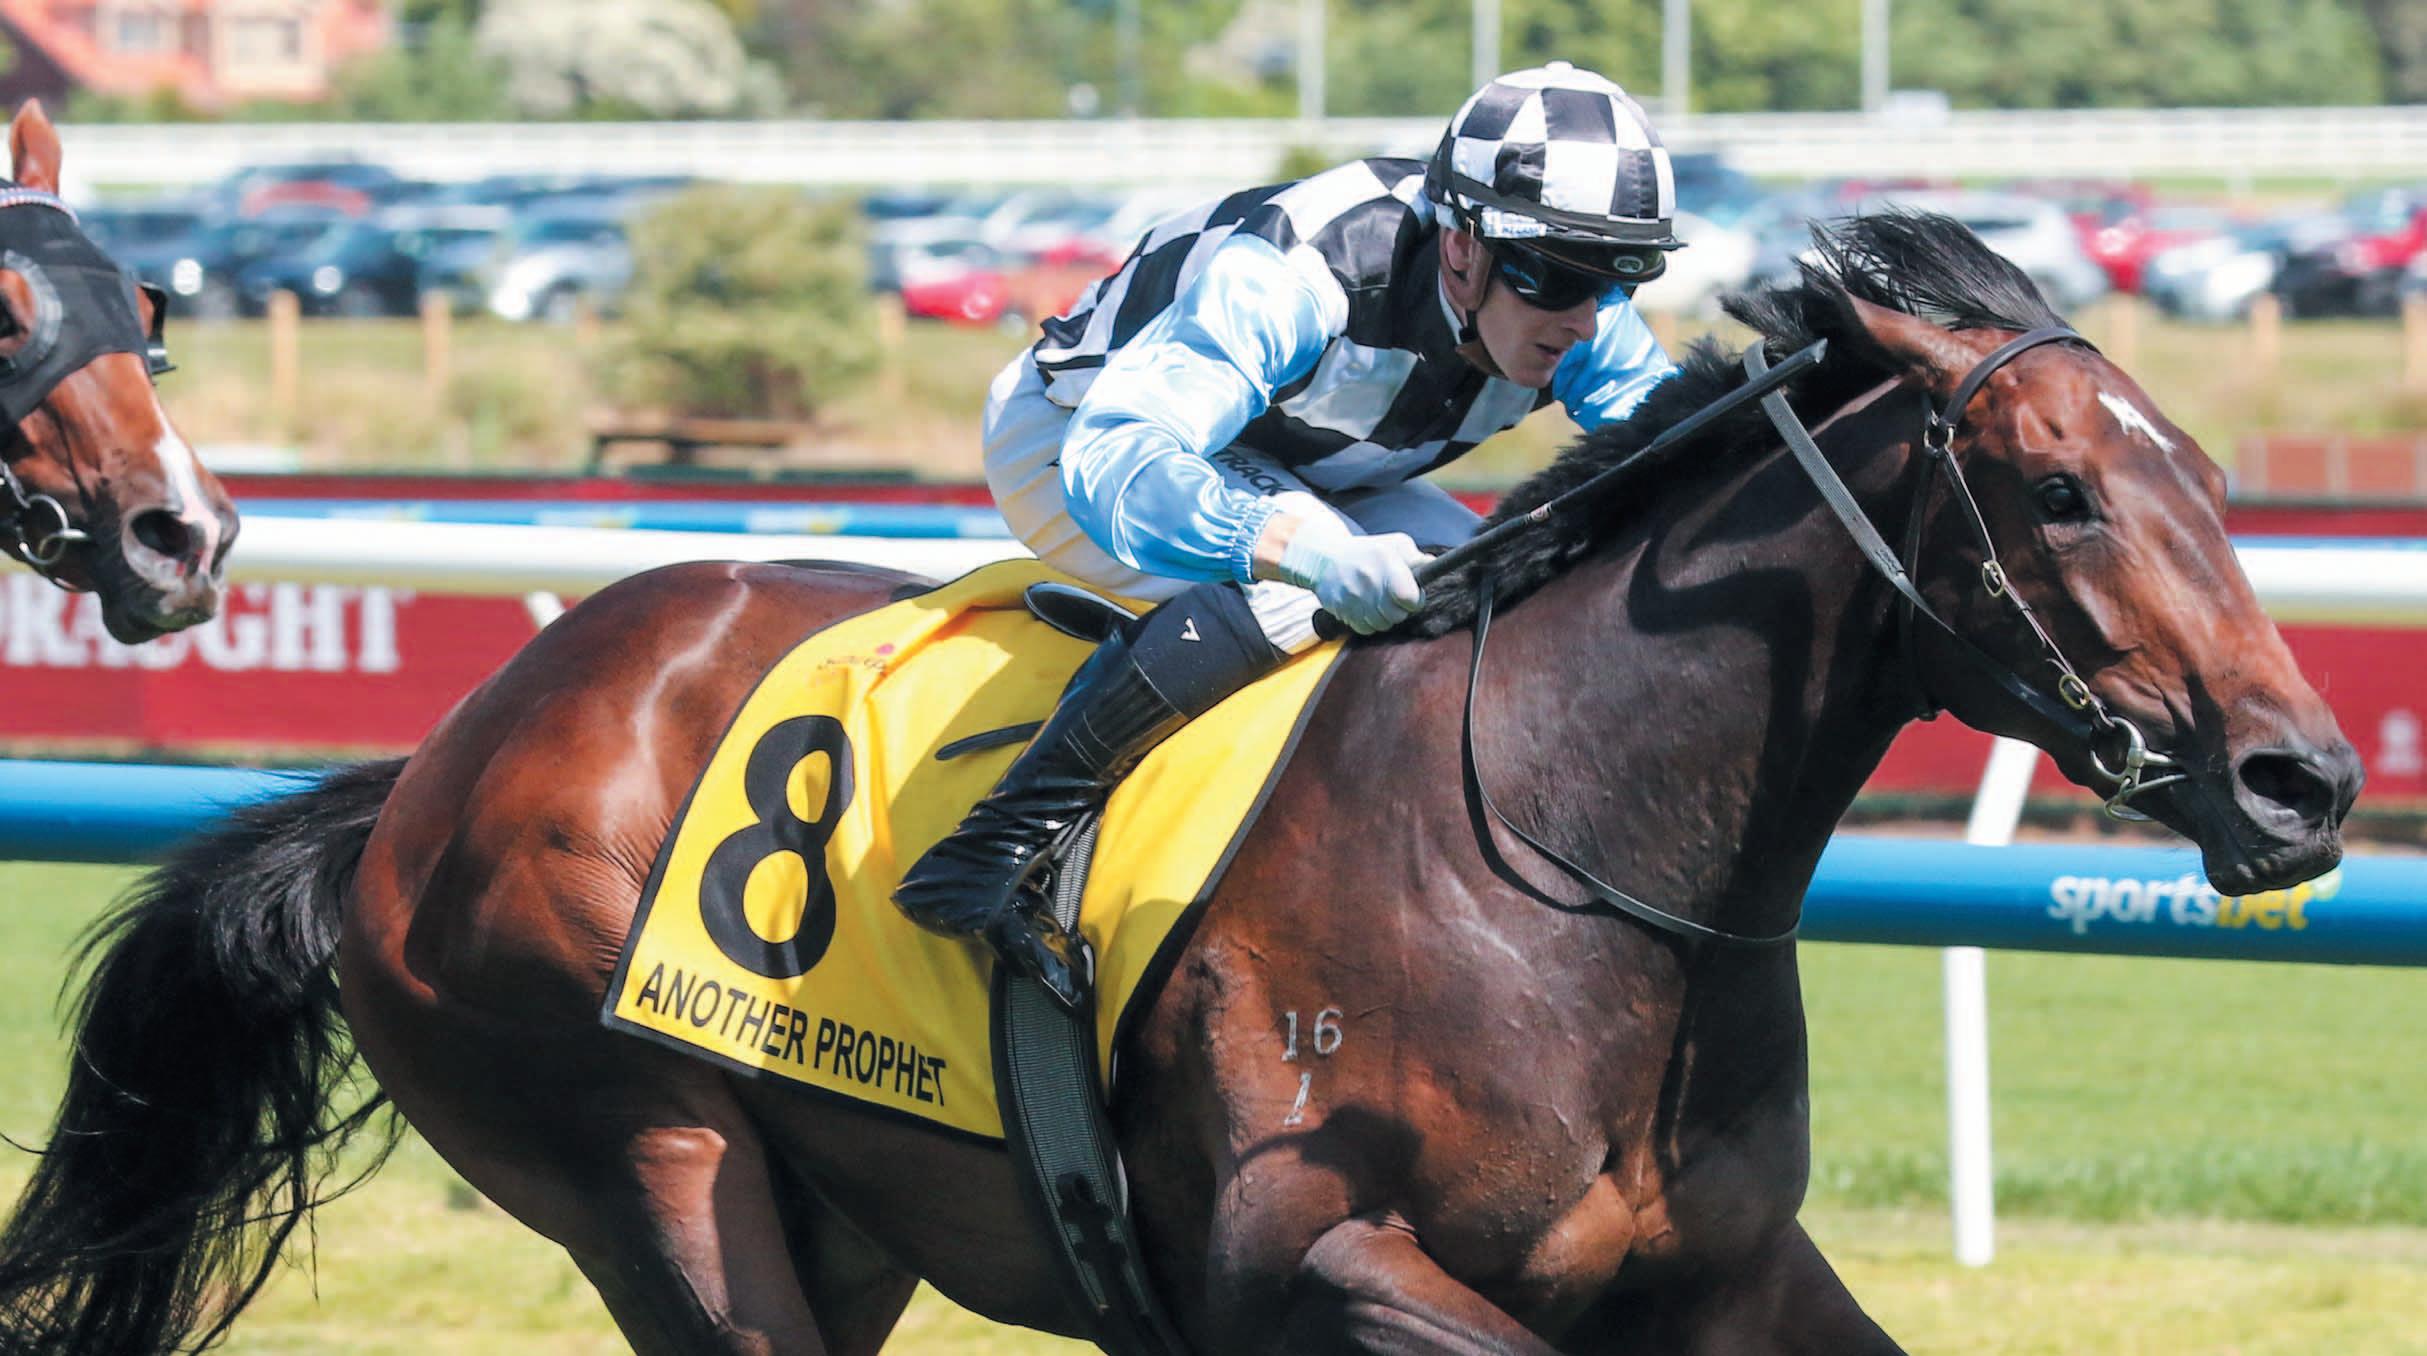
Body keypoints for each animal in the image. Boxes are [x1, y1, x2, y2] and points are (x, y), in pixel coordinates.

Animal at [0, 214, 2358, 1355]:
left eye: (2207, 474)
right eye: (2058, 488)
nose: (2303, 774)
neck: (1566, 856)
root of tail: (429, 769)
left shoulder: (1720, 1280)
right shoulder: (1293, 1259)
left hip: (832, 1221)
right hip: (648, 1165)